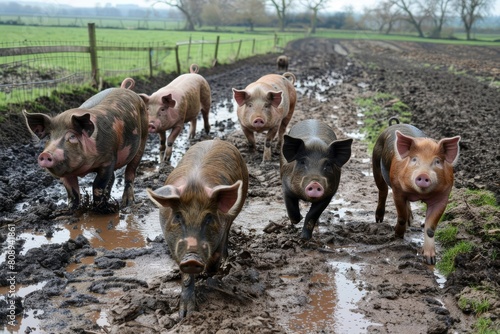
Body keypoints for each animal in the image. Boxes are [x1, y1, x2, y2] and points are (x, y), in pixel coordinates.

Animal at [146, 138, 248, 318]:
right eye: (178, 216)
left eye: (209, 217)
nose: (192, 259)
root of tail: (216, 139)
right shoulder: (174, 246)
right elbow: (186, 277)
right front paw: (185, 315)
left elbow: (215, 259)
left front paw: (209, 275)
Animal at [372, 118, 460, 264]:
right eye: (414, 159)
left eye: (437, 161)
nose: (423, 175)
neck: (419, 194)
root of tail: (394, 124)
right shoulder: (398, 191)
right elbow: (401, 216)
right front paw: (397, 235)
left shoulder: (443, 197)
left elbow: (430, 229)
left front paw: (431, 260)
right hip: (375, 163)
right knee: (382, 191)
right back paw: (379, 220)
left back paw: (410, 220)